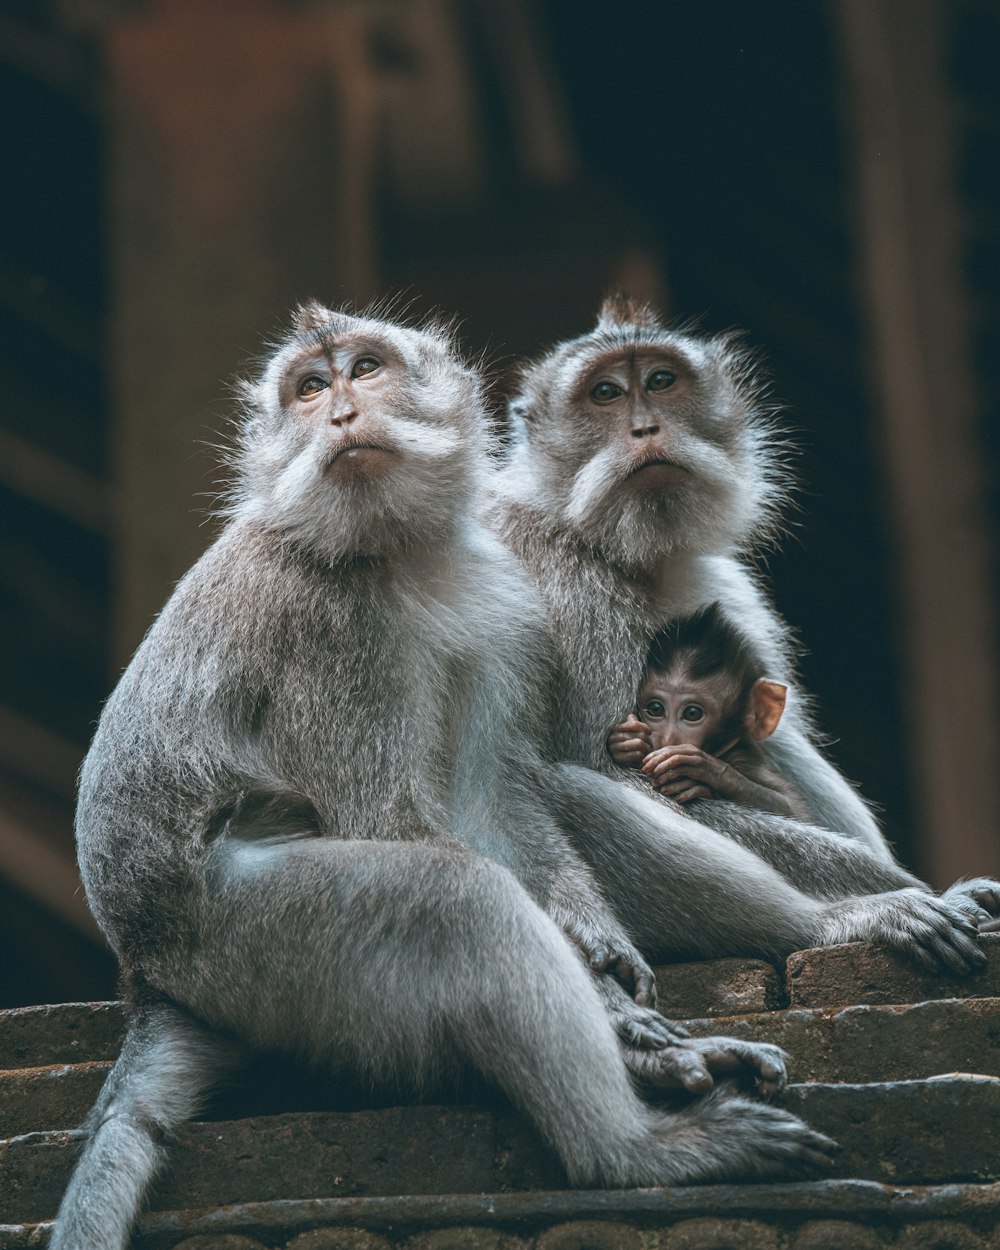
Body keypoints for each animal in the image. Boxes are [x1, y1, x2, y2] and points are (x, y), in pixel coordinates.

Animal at [610, 602, 810, 820]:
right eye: (655, 708)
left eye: (692, 713)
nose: (667, 739)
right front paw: (626, 741)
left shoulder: (744, 758)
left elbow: (793, 809)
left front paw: (704, 768)